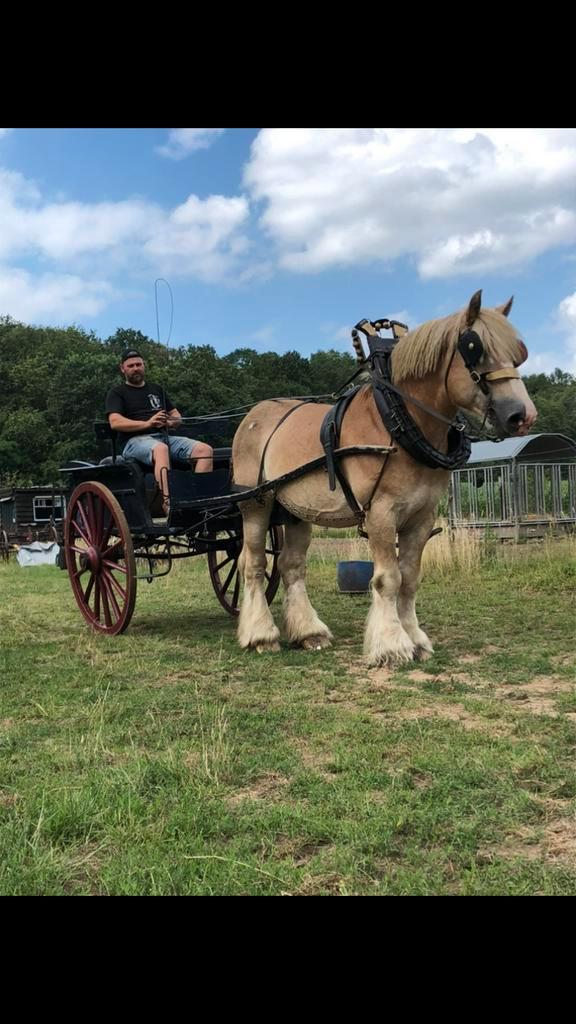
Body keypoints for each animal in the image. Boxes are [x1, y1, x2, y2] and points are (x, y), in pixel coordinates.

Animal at [232, 291, 537, 667]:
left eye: (518, 351)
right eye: (473, 347)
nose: (522, 415)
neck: (400, 422)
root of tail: (253, 415)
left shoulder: (421, 517)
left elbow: (409, 579)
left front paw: (416, 639)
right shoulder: (381, 512)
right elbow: (388, 579)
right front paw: (392, 645)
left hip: (296, 511)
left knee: (292, 565)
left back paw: (309, 633)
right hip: (256, 503)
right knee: (254, 563)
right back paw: (261, 635)